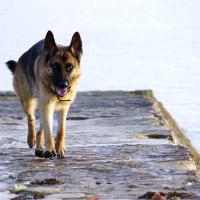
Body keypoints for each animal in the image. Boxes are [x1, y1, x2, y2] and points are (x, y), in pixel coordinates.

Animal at [6, 31, 82, 159]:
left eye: (69, 67)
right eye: (55, 66)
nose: (63, 85)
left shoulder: (63, 108)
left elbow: (61, 130)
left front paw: (59, 148)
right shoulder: (47, 105)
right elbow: (48, 131)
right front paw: (50, 149)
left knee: (40, 129)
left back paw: (39, 148)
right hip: (29, 101)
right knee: (31, 118)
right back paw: (32, 140)